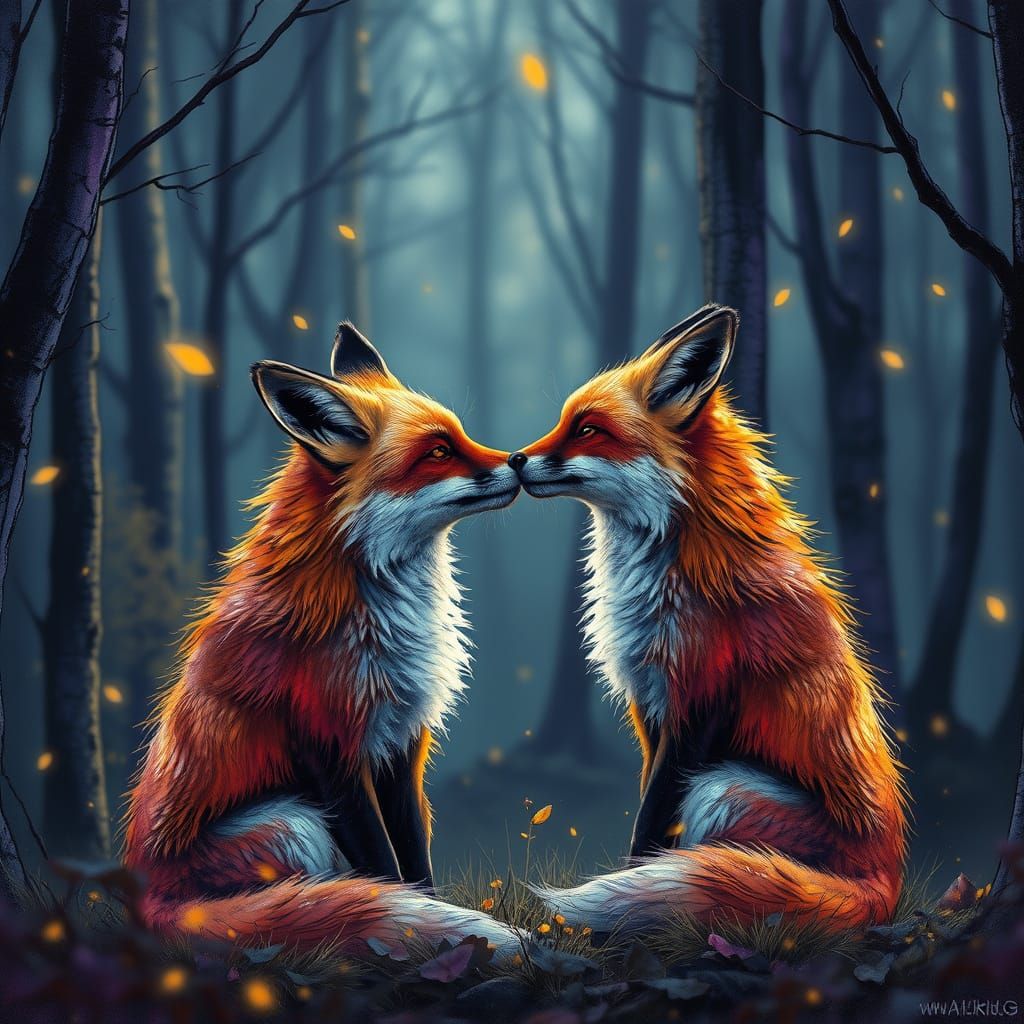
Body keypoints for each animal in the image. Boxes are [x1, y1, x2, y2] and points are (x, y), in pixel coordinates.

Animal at [123, 323, 524, 956]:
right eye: (437, 452)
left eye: (460, 436)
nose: (519, 460)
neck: (384, 627)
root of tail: (147, 901)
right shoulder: (328, 748)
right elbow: (384, 867)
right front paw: (414, 925)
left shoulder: (400, 743)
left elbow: (414, 861)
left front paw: (433, 923)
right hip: (296, 821)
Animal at [507, 304, 907, 935]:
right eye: (565, 422)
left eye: (589, 429)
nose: (516, 460)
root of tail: (885, 884)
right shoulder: (651, 705)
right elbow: (648, 809)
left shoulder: (700, 702)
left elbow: (650, 828)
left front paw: (627, 897)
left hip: (722, 789)